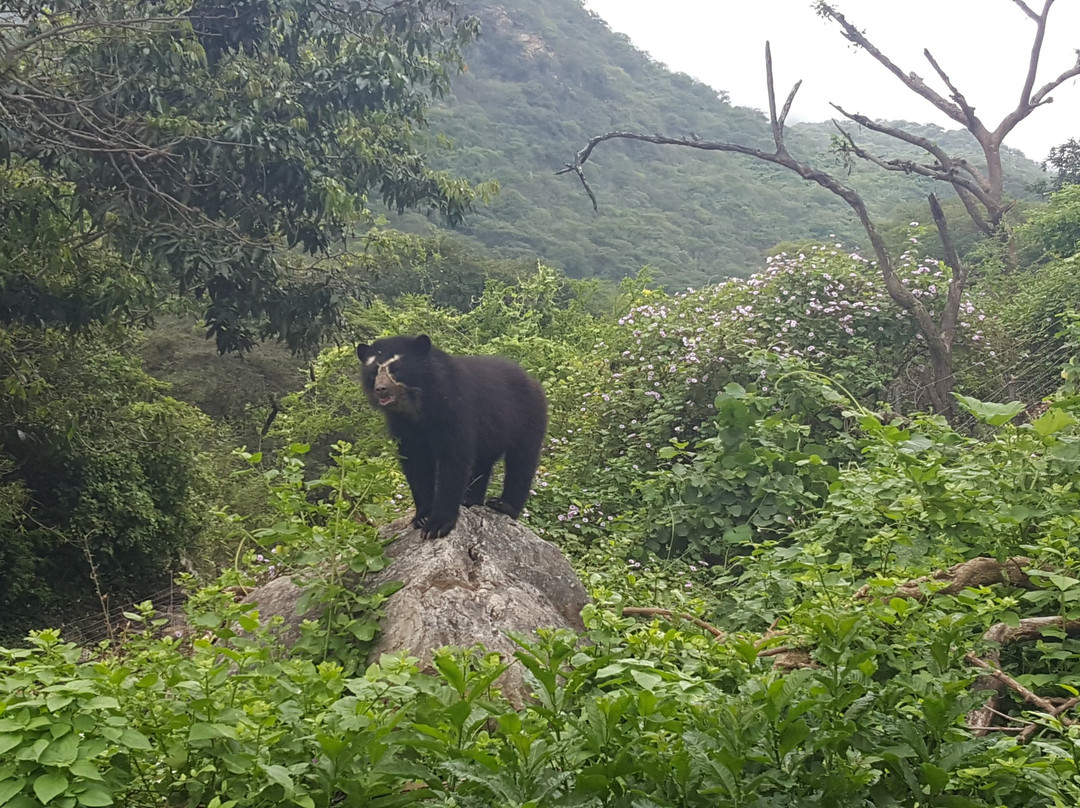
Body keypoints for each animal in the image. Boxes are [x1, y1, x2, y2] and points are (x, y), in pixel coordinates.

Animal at [358, 330, 548, 540]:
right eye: (373, 372)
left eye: (397, 369)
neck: (417, 406)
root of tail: (531, 379)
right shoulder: (402, 425)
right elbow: (415, 464)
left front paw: (437, 525)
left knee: (521, 461)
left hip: (528, 418)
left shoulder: (455, 410)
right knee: (482, 465)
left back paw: (503, 505)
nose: (380, 389)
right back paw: (471, 501)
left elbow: (453, 460)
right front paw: (422, 517)